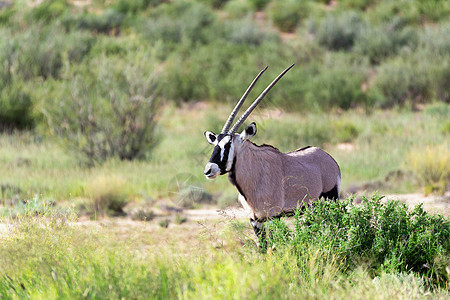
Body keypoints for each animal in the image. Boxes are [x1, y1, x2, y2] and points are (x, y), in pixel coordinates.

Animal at [202, 65, 340, 237]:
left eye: (228, 145)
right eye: (215, 144)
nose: (208, 170)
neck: (254, 174)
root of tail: (330, 158)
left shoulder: (274, 216)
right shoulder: (255, 220)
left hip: (330, 200)